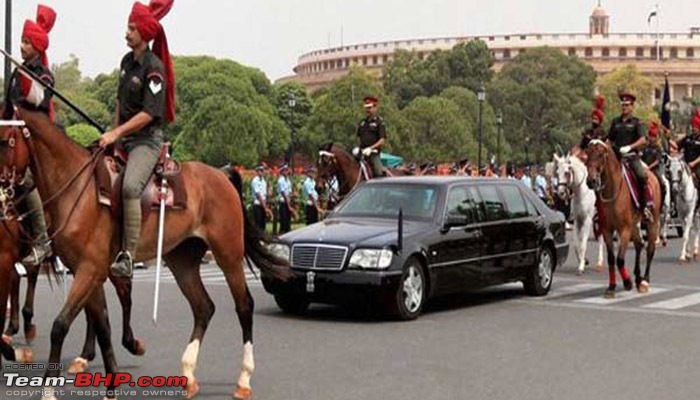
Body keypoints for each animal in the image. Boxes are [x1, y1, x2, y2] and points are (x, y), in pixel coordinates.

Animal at [0, 108, 288, 400]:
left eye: (4, 141)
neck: (75, 187)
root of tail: (220, 172)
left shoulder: (89, 269)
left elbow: (60, 325)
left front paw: (47, 387)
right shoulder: (86, 269)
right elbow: (102, 326)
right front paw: (111, 385)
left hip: (228, 253)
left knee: (244, 306)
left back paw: (243, 379)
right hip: (181, 259)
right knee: (203, 307)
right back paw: (188, 375)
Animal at [584, 139, 660, 298]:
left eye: (600, 155)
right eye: (587, 154)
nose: (591, 181)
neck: (613, 190)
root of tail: (652, 176)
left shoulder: (624, 229)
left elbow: (619, 259)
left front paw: (627, 283)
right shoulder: (607, 230)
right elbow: (611, 259)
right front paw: (612, 287)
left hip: (653, 222)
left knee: (650, 249)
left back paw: (645, 281)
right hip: (634, 225)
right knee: (639, 244)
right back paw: (638, 278)